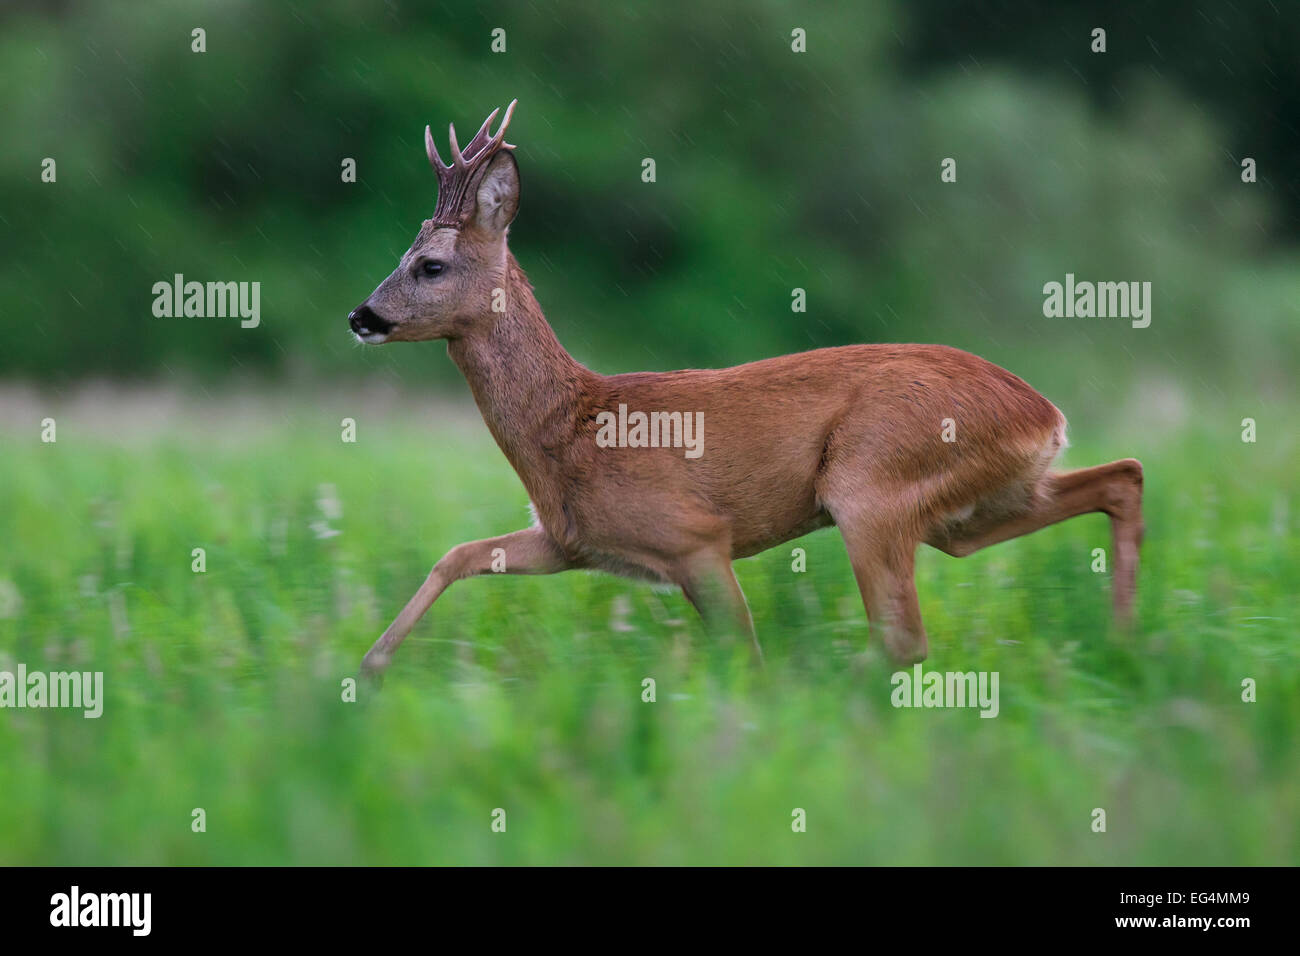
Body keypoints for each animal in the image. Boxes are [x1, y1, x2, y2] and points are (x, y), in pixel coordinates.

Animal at [351, 98, 1144, 681]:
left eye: (428, 265)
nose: (361, 317)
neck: (571, 428)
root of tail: (1045, 412)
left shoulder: (697, 537)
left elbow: (744, 653)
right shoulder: (572, 540)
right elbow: (456, 554)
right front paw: (371, 665)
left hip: (872, 484)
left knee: (902, 639)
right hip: (975, 507)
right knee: (1121, 475)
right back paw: (1121, 645)